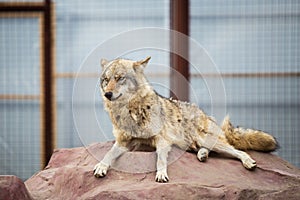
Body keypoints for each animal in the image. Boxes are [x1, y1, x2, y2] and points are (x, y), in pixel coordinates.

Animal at [94, 56, 278, 183]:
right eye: (106, 80)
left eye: (120, 78)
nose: (107, 94)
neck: (131, 111)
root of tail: (205, 114)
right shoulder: (124, 143)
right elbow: (108, 153)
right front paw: (101, 167)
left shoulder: (162, 139)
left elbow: (160, 159)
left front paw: (161, 174)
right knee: (208, 150)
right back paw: (202, 155)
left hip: (208, 140)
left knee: (238, 151)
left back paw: (247, 162)